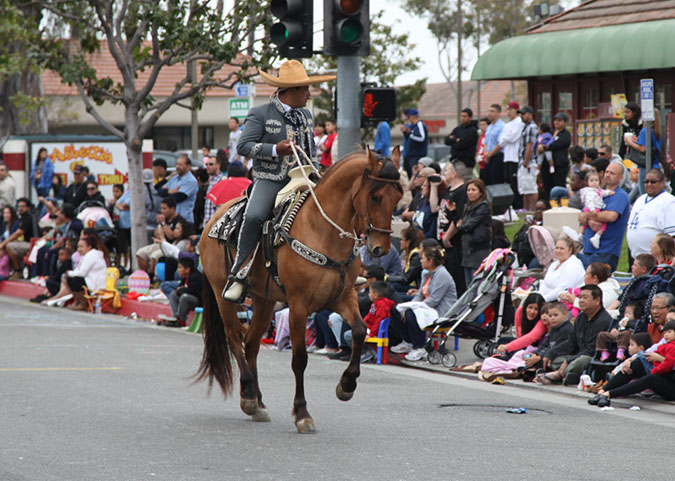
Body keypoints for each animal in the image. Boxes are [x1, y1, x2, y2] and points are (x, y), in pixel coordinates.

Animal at [195, 146, 404, 432]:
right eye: (375, 196)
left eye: (399, 198)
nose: (380, 248)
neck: (322, 230)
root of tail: (212, 219)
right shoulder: (298, 305)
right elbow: (299, 359)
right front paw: (302, 413)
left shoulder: (343, 296)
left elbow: (361, 330)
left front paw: (346, 385)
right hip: (222, 295)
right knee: (234, 339)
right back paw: (248, 396)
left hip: (264, 300)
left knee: (251, 344)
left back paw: (258, 402)